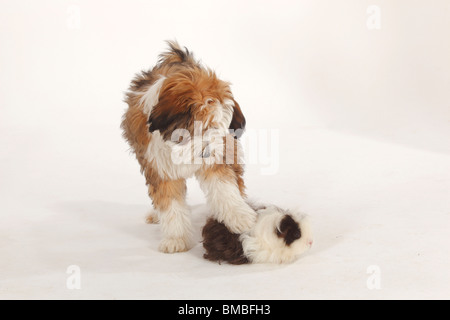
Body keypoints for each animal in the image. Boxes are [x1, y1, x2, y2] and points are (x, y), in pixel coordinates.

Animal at [121, 42, 256, 252]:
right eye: (202, 127)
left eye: (217, 128)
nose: (208, 151)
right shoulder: (159, 167)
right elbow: (170, 204)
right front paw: (176, 238)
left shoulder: (218, 159)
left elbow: (224, 189)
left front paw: (239, 217)